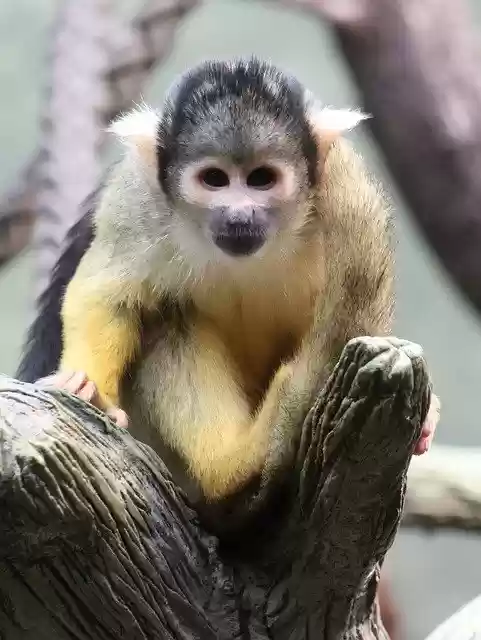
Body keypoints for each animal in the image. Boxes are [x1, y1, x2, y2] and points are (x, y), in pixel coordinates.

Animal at [17, 58, 440, 510]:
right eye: (215, 179)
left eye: (261, 178)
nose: (239, 216)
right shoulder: (137, 198)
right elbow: (108, 297)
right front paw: (89, 388)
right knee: (169, 318)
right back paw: (231, 465)